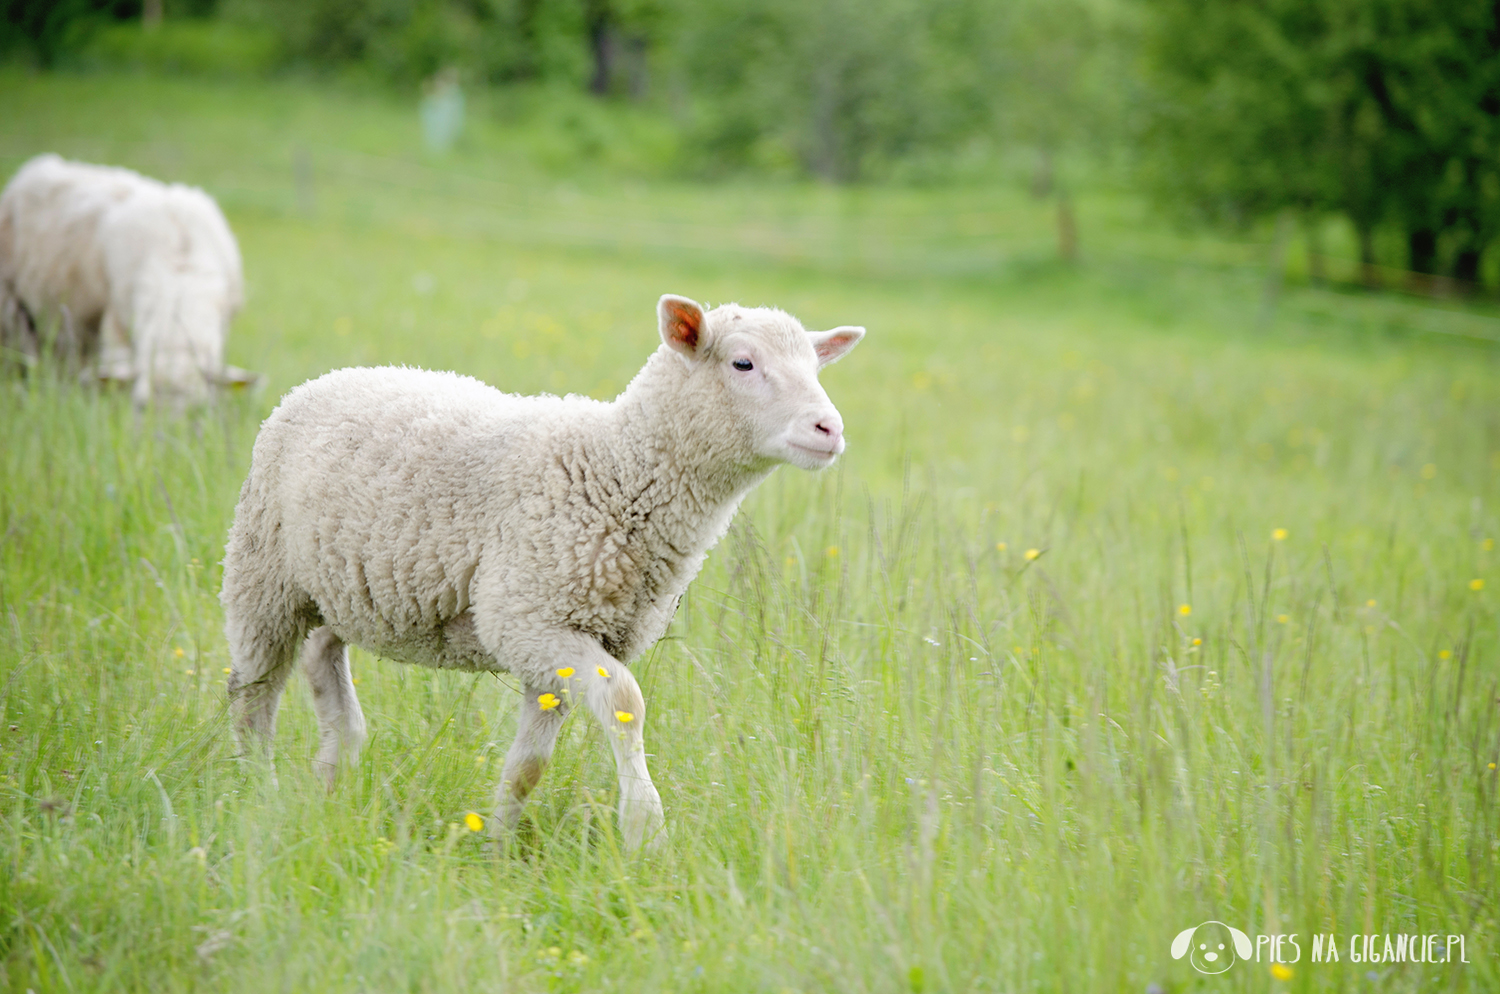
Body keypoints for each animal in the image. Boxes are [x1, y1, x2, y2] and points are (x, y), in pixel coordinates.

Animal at [217, 292, 864, 851]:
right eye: (743, 362)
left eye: (816, 366)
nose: (830, 430)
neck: (615, 470)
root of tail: (325, 379)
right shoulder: (526, 618)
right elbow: (627, 702)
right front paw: (645, 828)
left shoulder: (559, 643)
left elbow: (529, 765)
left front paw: (497, 850)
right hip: (262, 573)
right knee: (252, 697)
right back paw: (258, 795)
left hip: (338, 586)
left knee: (322, 658)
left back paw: (332, 775)